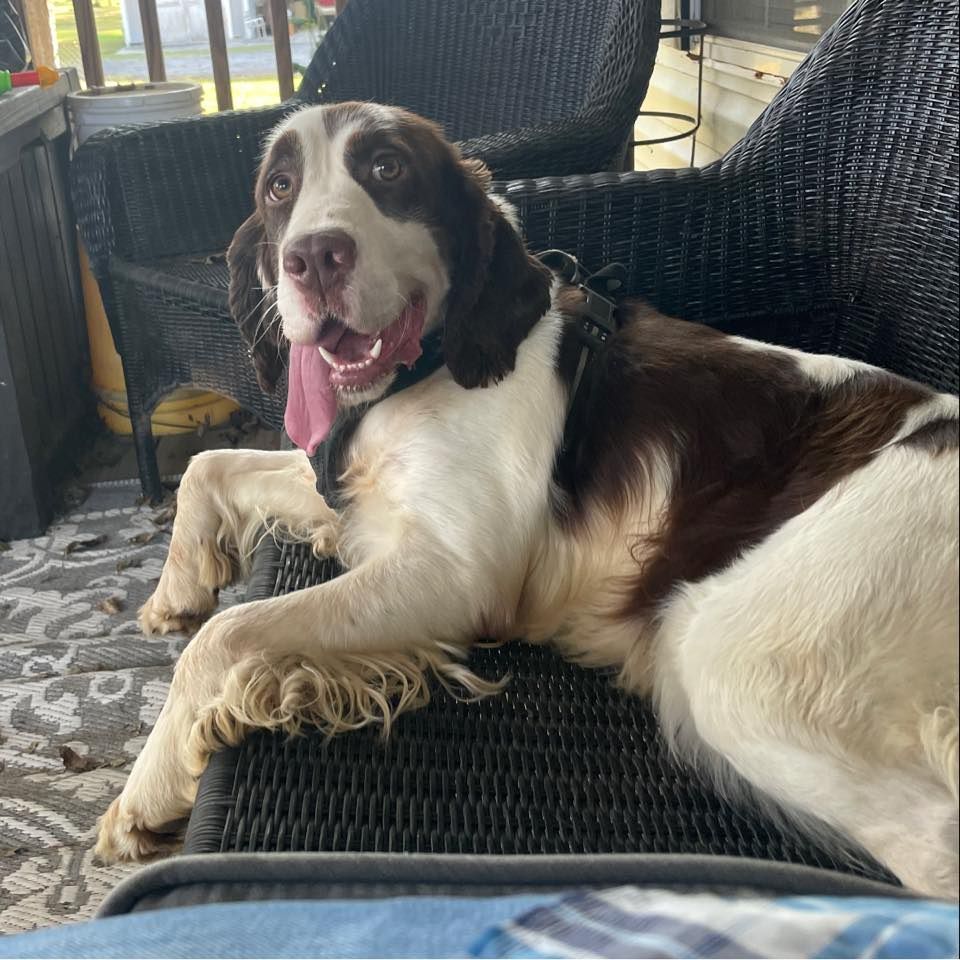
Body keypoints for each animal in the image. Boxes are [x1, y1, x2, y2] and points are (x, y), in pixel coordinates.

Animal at [97, 101, 960, 896]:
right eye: (281, 186)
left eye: (387, 169)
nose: (313, 256)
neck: (429, 367)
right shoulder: (355, 494)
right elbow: (208, 466)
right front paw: (176, 590)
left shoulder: (457, 577)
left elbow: (230, 635)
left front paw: (147, 790)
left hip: (741, 659)